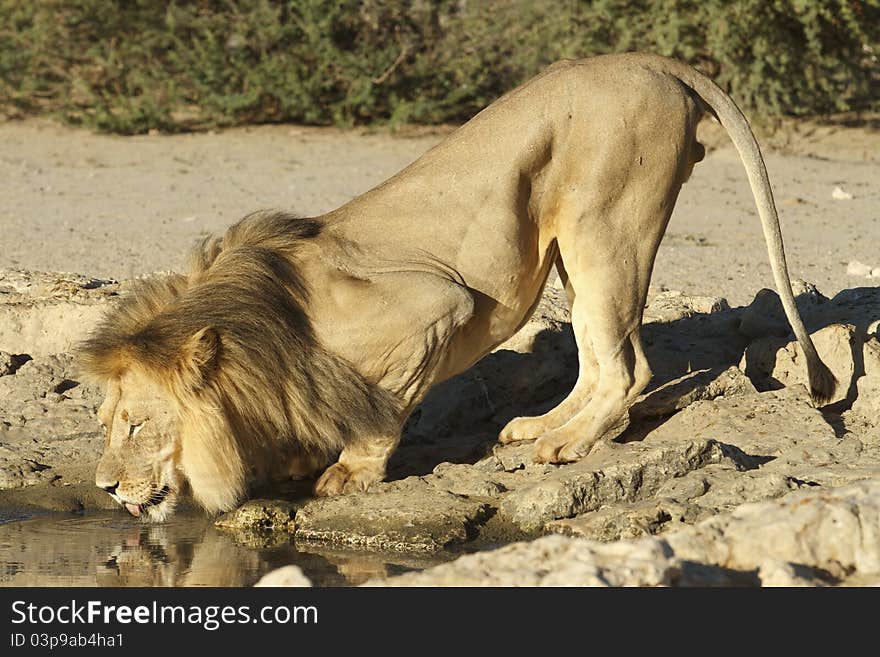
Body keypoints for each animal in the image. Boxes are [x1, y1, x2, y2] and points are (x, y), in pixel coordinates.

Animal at [79, 53, 836, 520]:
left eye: (136, 423)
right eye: (107, 423)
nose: (104, 487)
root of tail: (647, 59)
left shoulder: (435, 304)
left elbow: (382, 409)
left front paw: (349, 473)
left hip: (606, 225)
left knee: (629, 367)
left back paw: (566, 445)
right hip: (573, 248)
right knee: (598, 357)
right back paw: (538, 427)